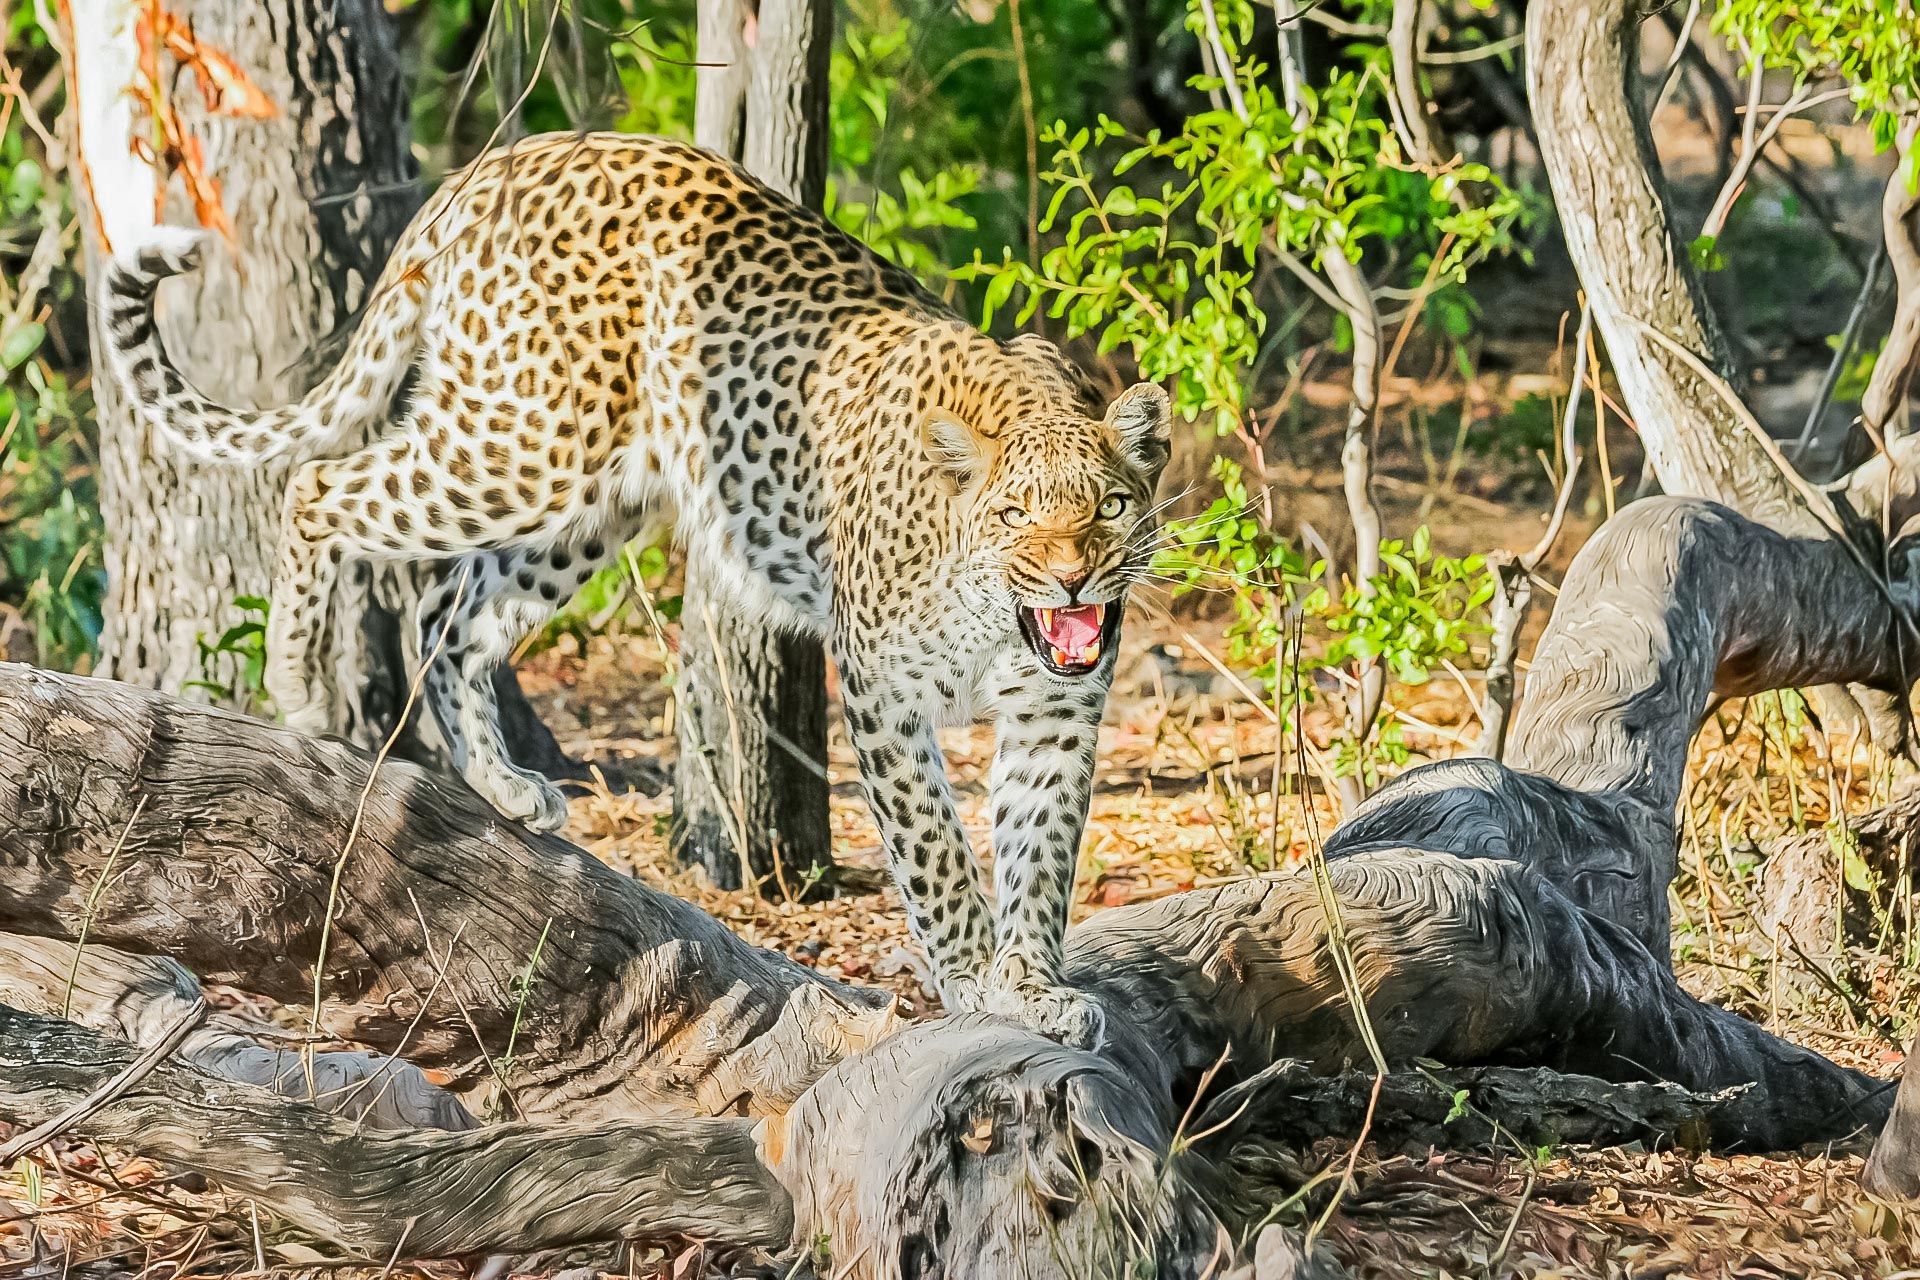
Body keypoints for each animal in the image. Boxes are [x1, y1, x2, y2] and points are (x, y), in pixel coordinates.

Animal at [99, 131, 1172, 1046]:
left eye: (1112, 506)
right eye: (1015, 515)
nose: (1072, 575)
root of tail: (494, 164)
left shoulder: (1058, 713)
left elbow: (1041, 855)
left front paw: (1033, 987)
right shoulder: (881, 691)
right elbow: (940, 854)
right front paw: (977, 980)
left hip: (590, 504)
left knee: (449, 616)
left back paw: (502, 783)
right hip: (523, 445)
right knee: (318, 487)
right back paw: (301, 688)